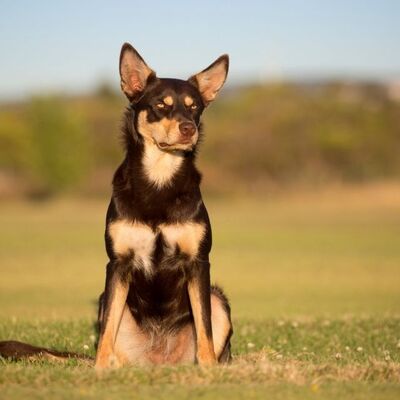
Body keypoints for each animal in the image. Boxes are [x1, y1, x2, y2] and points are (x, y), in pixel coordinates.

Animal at [0, 42, 231, 368]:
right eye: (161, 105)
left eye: (194, 107)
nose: (188, 129)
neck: (159, 180)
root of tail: (157, 363)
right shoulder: (118, 264)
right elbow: (107, 328)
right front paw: (99, 370)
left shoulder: (198, 262)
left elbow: (205, 328)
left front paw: (209, 370)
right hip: (105, 301)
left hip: (218, 298)